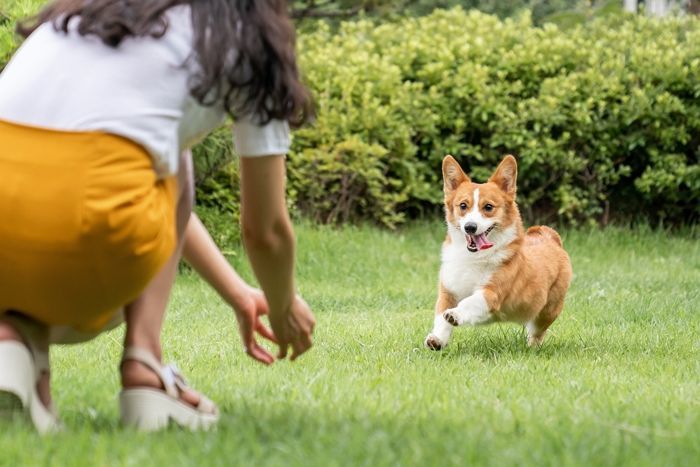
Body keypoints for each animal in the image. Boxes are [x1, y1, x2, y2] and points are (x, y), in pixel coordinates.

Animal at [424, 155, 572, 350]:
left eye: (488, 207)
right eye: (463, 205)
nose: (470, 227)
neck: (472, 258)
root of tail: (549, 235)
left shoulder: (491, 294)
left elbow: (468, 303)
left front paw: (455, 314)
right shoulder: (448, 292)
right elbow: (440, 318)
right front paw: (437, 340)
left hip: (548, 311)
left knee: (537, 332)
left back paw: (531, 348)